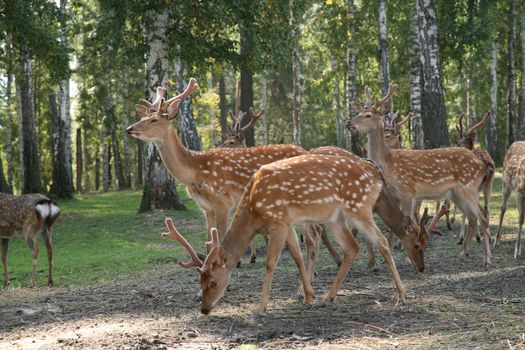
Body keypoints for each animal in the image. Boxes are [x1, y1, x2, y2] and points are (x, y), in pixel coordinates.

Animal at [162, 153, 420, 318]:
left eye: (214, 282)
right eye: (199, 281)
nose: (204, 309)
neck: (254, 208)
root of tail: (375, 173)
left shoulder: (277, 220)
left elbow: (271, 263)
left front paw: (260, 308)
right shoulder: (286, 222)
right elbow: (296, 255)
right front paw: (309, 296)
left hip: (359, 207)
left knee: (382, 240)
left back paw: (402, 296)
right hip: (335, 218)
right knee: (352, 247)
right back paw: (328, 297)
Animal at [346, 84, 494, 266]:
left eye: (368, 115)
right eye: (359, 112)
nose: (348, 123)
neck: (388, 163)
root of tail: (481, 164)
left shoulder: (408, 191)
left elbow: (408, 221)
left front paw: (408, 256)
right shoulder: (396, 194)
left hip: (469, 187)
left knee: (483, 216)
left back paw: (487, 259)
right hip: (457, 193)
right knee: (473, 217)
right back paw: (463, 254)